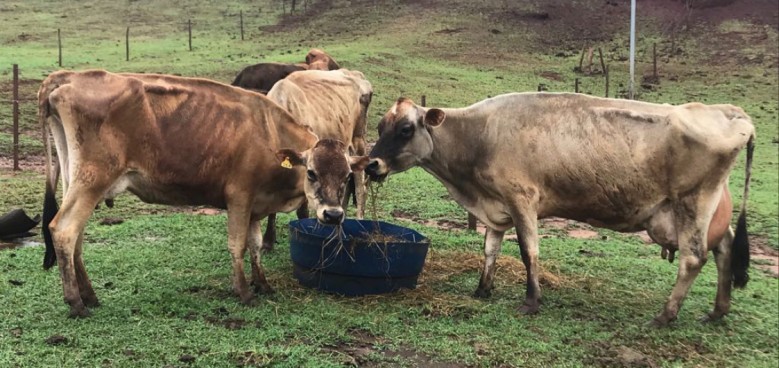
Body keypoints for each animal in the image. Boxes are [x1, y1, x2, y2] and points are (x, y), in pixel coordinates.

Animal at [258, 69, 374, 250]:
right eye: (312, 173)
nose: (332, 215)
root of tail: (354, 73)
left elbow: (302, 211)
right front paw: (268, 240)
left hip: (358, 141)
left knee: (360, 187)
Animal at [368, 92, 760, 324]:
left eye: (406, 129)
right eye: (380, 125)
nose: (371, 164)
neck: (479, 136)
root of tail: (729, 111)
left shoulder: (522, 199)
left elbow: (529, 252)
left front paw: (532, 300)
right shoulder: (496, 205)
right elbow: (490, 249)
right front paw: (482, 290)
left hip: (692, 203)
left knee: (693, 258)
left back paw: (665, 315)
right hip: (707, 211)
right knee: (724, 249)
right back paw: (718, 310)